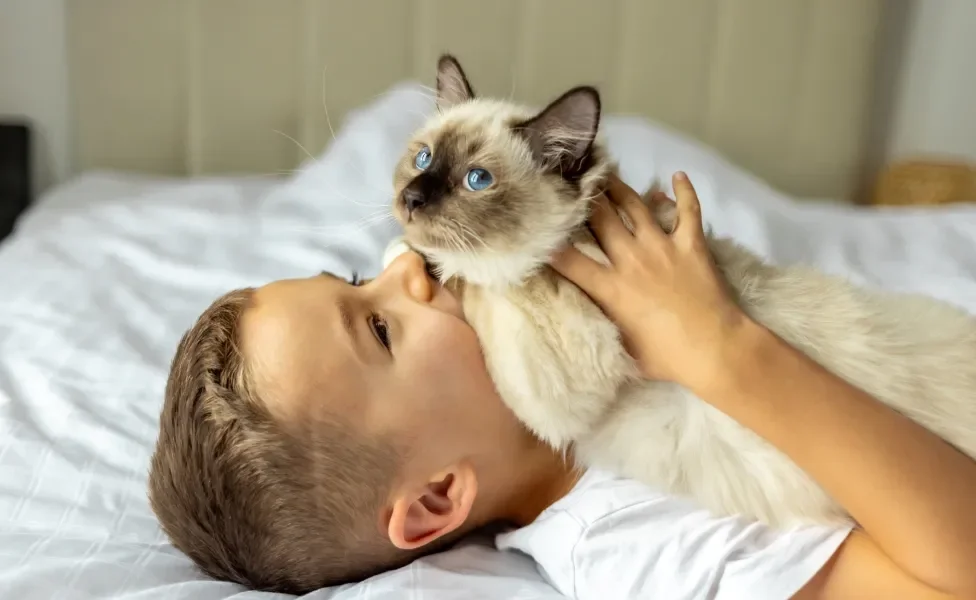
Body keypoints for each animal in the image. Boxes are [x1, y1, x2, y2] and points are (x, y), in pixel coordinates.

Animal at [386, 55, 976, 524]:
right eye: (423, 159)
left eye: (477, 181)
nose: (411, 199)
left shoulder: (555, 370)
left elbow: (481, 282)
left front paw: (415, 266)